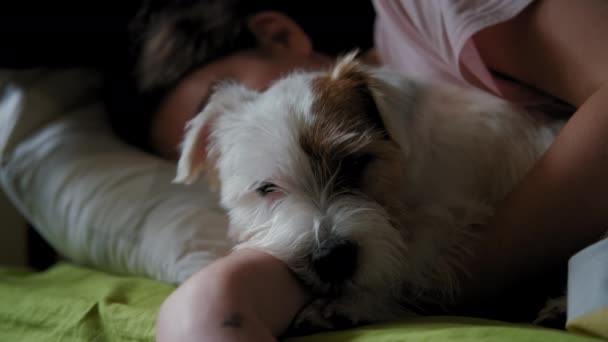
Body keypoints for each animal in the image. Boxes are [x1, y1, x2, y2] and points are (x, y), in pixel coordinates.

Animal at [173, 54, 564, 328]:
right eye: (267, 188)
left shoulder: (452, 216)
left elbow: (412, 262)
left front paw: (356, 305)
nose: (332, 258)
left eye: (357, 162)